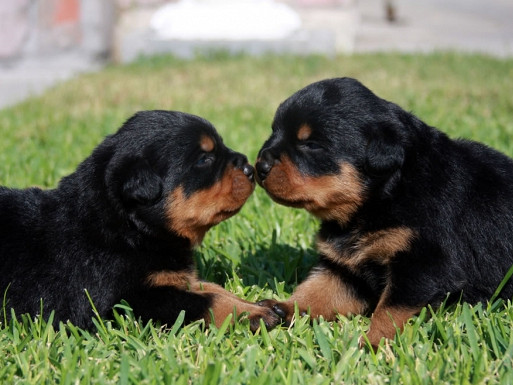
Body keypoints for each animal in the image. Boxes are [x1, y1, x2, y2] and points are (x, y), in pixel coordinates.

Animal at [0, 110, 278, 330]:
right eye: (203, 159)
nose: (250, 168)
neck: (129, 228)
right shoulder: (124, 301)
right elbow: (206, 300)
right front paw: (254, 314)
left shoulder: (174, 278)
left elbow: (211, 287)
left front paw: (260, 305)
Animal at [255, 78, 512, 348]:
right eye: (274, 132)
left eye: (311, 145)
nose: (260, 165)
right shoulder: (346, 270)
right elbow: (318, 290)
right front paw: (283, 307)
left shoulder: (424, 265)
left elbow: (390, 310)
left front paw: (373, 343)